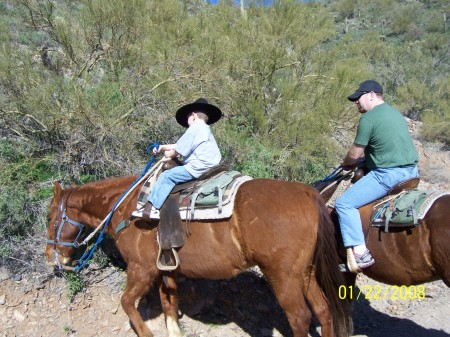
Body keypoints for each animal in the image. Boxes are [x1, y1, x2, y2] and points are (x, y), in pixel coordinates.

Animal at [46, 173, 356, 336]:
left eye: (50, 218)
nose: (51, 257)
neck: (127, 209)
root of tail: (309, 194)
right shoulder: (166, 269)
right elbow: (169, 306)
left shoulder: (141, 268)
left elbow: (127, 303)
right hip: (306, 273)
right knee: (323, 311)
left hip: (284, 277)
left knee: (300, 318)